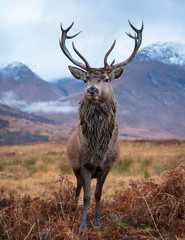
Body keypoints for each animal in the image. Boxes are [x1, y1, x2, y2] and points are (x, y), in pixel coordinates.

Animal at [59, 21, 143, 232]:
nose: (92, 90)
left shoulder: (107, 167)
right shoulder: (84, 165)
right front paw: (82, 226)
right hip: (73, 165)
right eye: (85, 79)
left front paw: (97, 223)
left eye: (106, 79)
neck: (98, 150)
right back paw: (73, 209)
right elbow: (87, 196)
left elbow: (98, 195)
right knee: (78, 186)